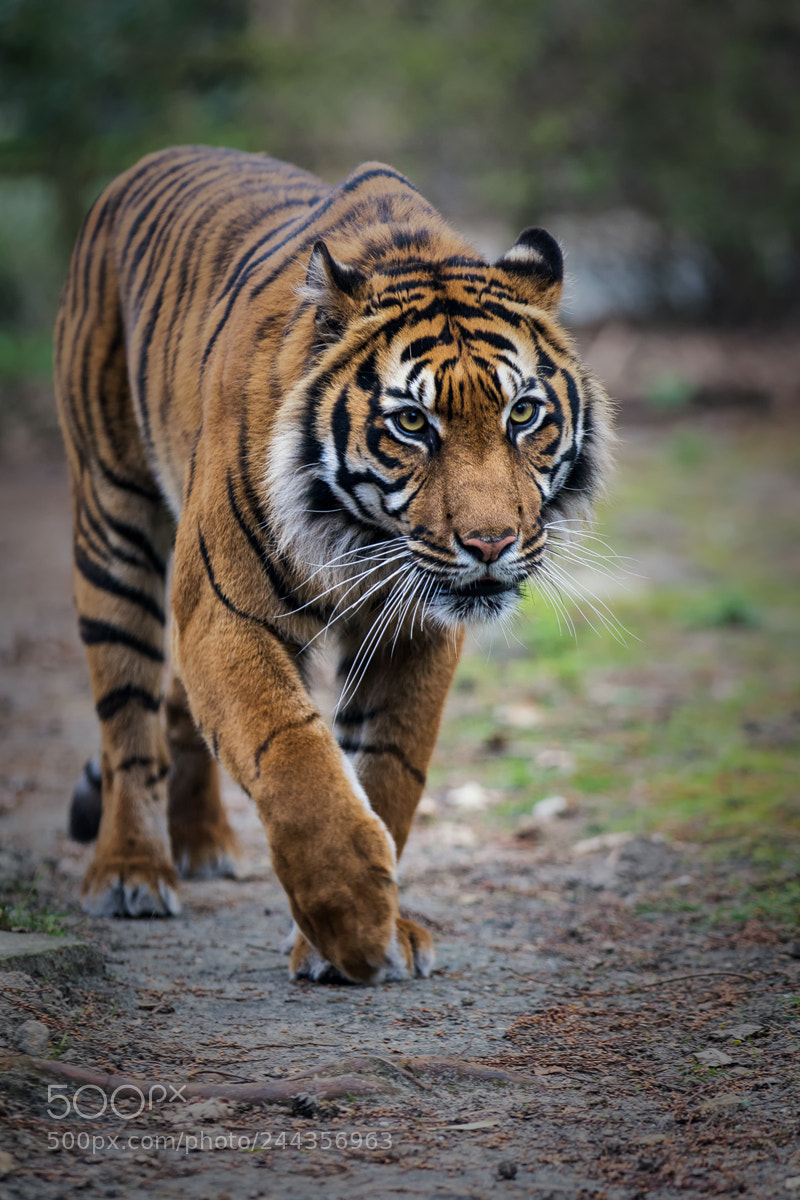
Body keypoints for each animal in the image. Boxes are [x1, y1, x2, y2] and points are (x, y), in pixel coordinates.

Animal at [54, 145, 612, 984]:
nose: (490, 544)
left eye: (523, 414)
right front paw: (350, 920)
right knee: (128, 720)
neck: (361, 536)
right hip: (114, 523)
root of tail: (147, 164)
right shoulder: (223, 613)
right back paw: (131, 871)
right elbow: (292, 754)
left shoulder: (415, 630)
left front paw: (378, 930)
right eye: (411, 423)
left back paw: (205, 842)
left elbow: (388, 769)